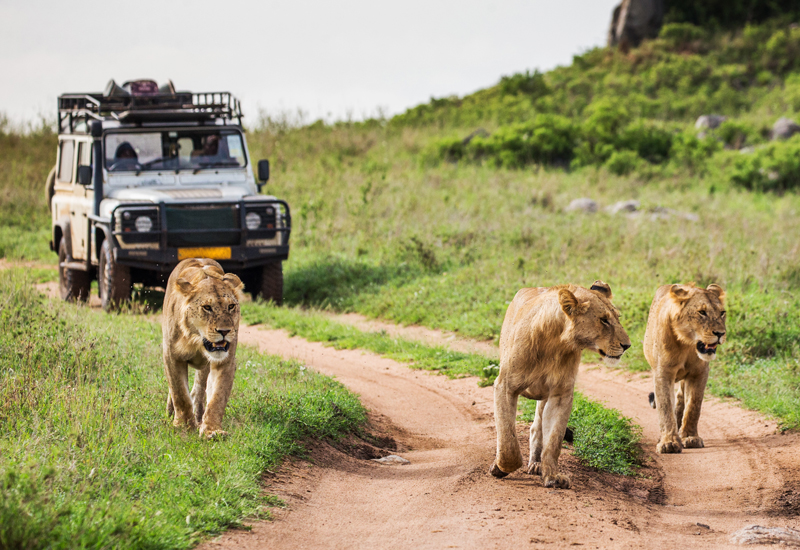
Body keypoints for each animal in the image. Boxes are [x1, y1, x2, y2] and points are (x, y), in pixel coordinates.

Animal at [162, 258, 244, 440]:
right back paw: (171, 412)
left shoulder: (225, 361)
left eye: (231, 306)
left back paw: (199, 416)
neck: (196, 340)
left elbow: (217, 397)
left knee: (199, 390)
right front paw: (184, 426)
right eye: (207, 307)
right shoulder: (171, 356)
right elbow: (179, 393)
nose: (224, 331)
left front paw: (212, 431)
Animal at [488, 282, 632, 490]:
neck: (556, 343)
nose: (627, 345)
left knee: (537, 427)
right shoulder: (505, 386)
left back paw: (537, 463)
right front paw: (500, 468)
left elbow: (554, 441)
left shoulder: (560, 394)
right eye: (604, 320)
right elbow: (508, 439)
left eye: (617, 318)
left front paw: (553, 476)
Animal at [644, 282, 724, 454]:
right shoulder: (663, 373)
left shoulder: (699, 373)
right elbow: (665, 406)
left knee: (681, 398)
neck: (687, 344)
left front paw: (690, 437)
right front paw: (668, 442)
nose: (721, 333)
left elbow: (694, 406)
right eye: (702, 312)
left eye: (722, 313)